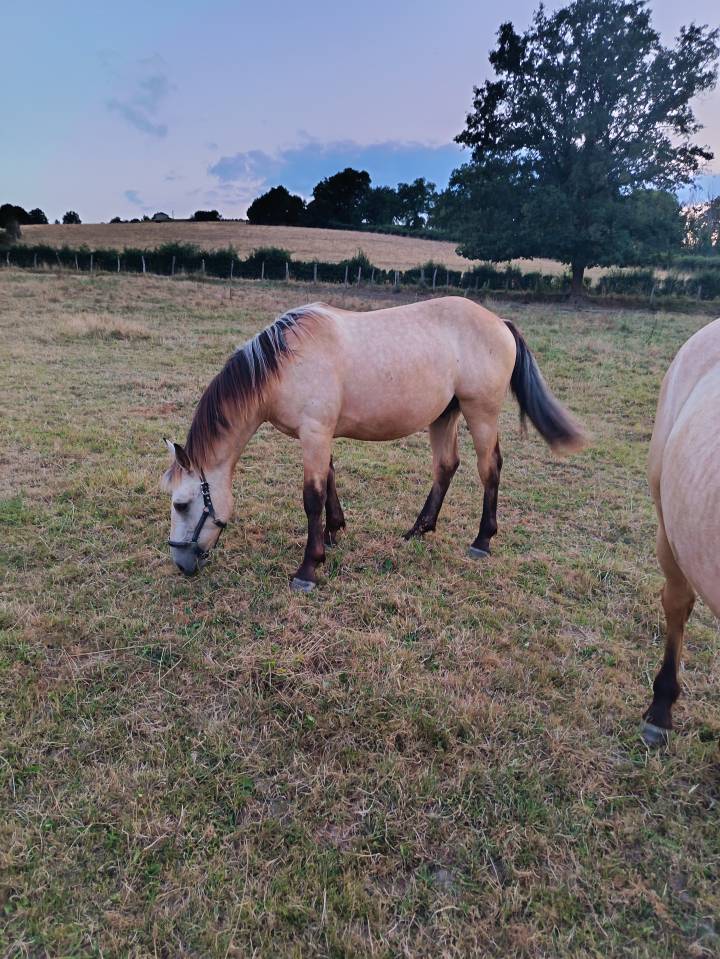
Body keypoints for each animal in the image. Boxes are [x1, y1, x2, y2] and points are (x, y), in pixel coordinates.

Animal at [162, 298, 585, 588]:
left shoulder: (315, 433)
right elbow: (330, 482)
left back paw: (482, 540)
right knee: (446, 466)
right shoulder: (321, 435)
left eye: (182, 504)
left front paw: (309, 567)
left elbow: (312, 497)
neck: (284, 363)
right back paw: (419, 530)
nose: (181, 564)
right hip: (444, 415)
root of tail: (498, 321)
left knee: (489, 468)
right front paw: (333, 533)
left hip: (480, 413)